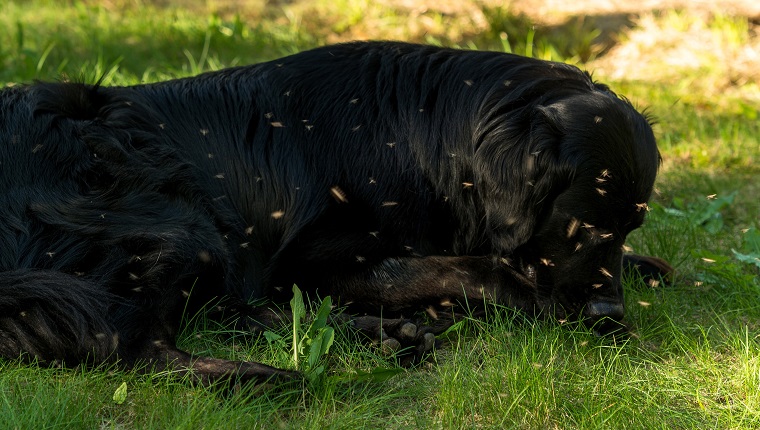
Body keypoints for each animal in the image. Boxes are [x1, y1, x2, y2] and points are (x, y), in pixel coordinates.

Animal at [0, 41, 672, 382]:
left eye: (630, 226)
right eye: (580, 226)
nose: (609, 312)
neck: (421, 135)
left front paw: (646, 266)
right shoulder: (308, 261)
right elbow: (461, 267)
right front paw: (532, 299)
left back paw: (384, 335)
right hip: (179, 223)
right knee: (131, 343)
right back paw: (273, 376)